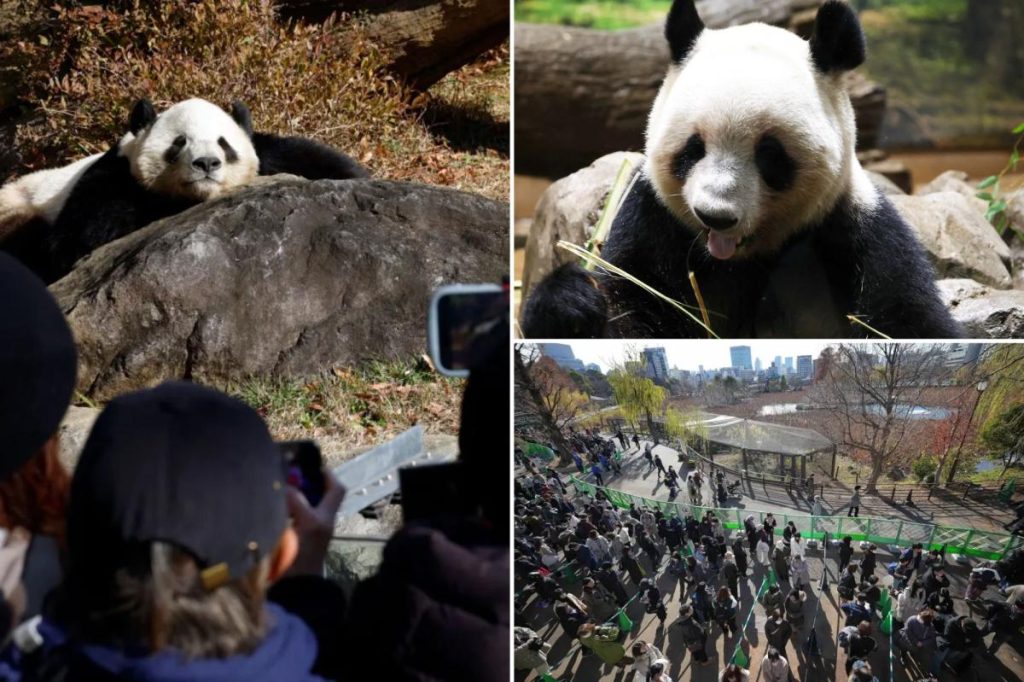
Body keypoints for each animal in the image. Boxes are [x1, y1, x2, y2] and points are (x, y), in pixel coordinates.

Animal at [0, 97, 368, 283]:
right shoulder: (110, 178)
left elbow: (310, 157)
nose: (206, 163)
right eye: (179, 142)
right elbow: (83, 237)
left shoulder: (269, 153)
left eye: (224, 143)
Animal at [521, 0, 961, 339]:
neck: (741, 258)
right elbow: (630, 310)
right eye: (693, 148)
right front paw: (570, 304)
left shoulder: (854, 231)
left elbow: (908, 319)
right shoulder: (652, 221)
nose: (715, 216)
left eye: (770, 155)